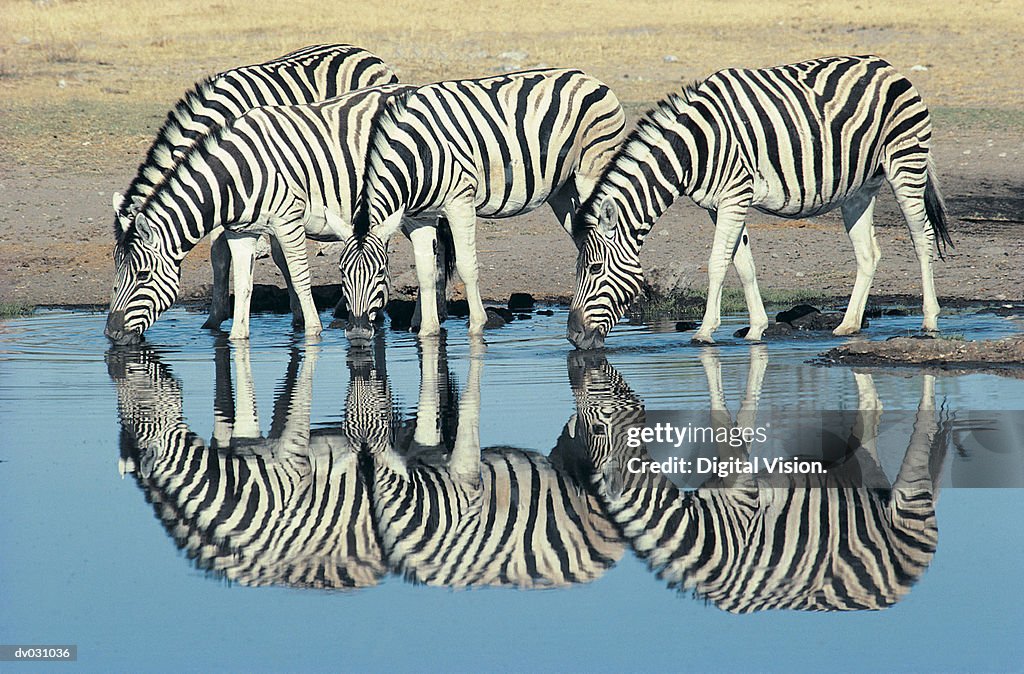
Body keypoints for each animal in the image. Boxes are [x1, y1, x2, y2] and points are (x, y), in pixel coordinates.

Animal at [105, 84, 451, 344]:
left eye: (142, 276)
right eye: (116, 272)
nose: (111, 334)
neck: (236, 174)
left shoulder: (287, 220)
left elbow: (298, 276)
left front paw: (311, 329)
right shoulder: (241, 231)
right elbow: (242, 281)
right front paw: (236, 336)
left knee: (433, 255)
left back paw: (423, 320)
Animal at [338, 68, 626, 344]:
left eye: (380, 273)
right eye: (342, 272)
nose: (357, 334)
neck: (417, 155)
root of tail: (589, 78)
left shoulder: (459, 202)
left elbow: (467, 266)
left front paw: (478, 326)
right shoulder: (418, 217)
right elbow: (425, 273)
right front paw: (428, 333)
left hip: (592, 173)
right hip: (563, 192)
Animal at [560, 348, 944, 612]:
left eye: (597, 427)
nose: (581, 364)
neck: (699, 532)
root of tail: (899, 591)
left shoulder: (743, 491)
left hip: (908, 499)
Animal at [567, 55, 952, 348]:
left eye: (594, 269)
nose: (573, 337)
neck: (692, 149)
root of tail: (889, 67)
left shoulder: (735, 194)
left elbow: (717, 263)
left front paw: (705, 332)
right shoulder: (718, 204)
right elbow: (743, 264)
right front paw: (756, 329)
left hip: (906, 162)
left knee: (922, 238)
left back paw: (930, 322)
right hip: (859, 188)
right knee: (868, 253)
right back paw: (848, 325)